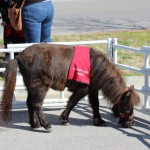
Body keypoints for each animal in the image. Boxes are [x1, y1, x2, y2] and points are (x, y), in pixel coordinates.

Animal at [0, 43, 140, 131]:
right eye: (127, 107)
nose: (130, 124)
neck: (95, 66)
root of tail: (19, 56)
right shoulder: (83, 89)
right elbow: (72, 102)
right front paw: (64, 119)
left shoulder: (93, 89)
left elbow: (95, 104)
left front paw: (98, 121)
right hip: (40, 86)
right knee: (36, 104)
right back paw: (46, 125)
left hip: (31, 86)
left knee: (30, 103)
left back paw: (35, 124)